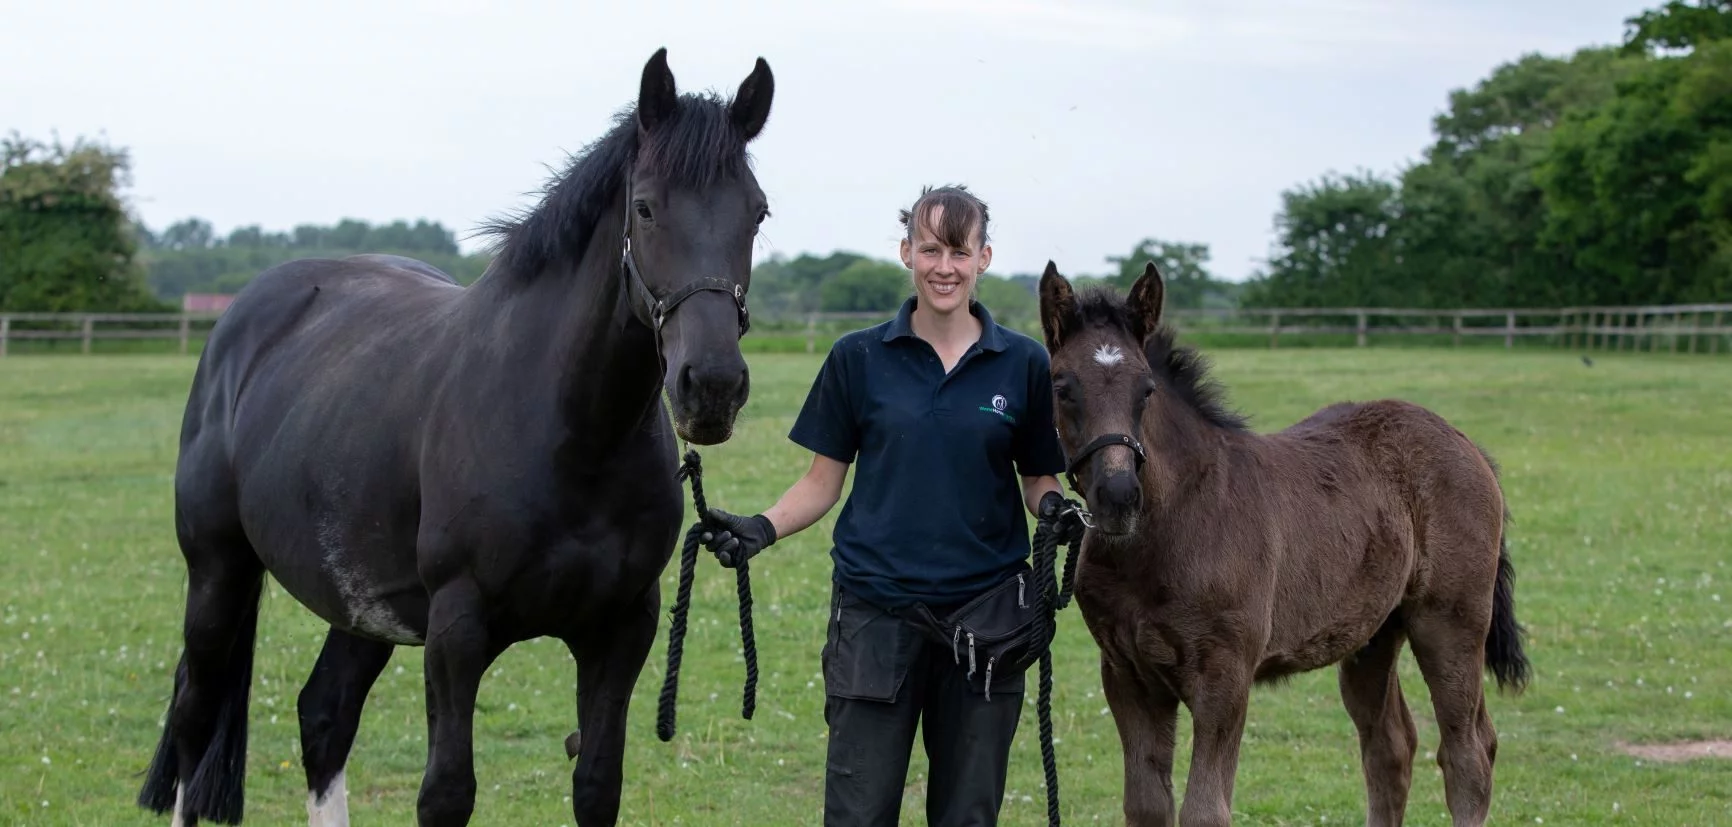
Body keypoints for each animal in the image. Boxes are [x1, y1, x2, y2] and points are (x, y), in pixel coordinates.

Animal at [135, 48, 775, 826]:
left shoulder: (621, 629)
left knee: (323, 715)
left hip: (361, 606)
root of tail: (242, 319)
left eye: (756, 211)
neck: (567, 433)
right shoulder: (457, 631)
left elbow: (597, 782)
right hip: (217, 572)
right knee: (194, 721)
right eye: (647, 207)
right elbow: (447, 791)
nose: (710, 385)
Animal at [1035, 261, 1532, 827]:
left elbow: (1205, 809)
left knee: (1469, 751)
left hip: (1450, 622)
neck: (1169, 529)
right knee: (1390, 745)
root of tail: (1467, 444)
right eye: (1062, 386)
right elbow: (1146, 805)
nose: (1119, 497)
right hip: (1375, 633)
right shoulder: (1127, 674)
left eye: (1147, 390)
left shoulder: (1224, 675)